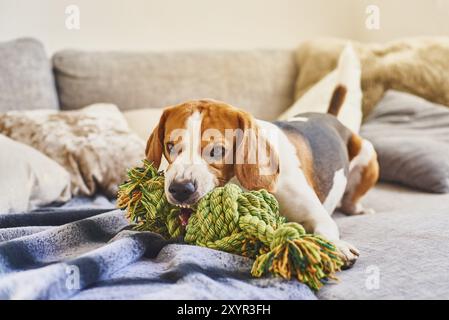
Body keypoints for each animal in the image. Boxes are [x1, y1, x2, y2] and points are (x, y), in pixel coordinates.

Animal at [145, 85, 376, 268]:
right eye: (170, 146)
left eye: (217, 150)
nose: (180, 189)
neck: (239, 182)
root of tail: (329, 116)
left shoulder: (317, 215)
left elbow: (324, 229)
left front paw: (336, 246)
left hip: (368, 154)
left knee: (351, 201)